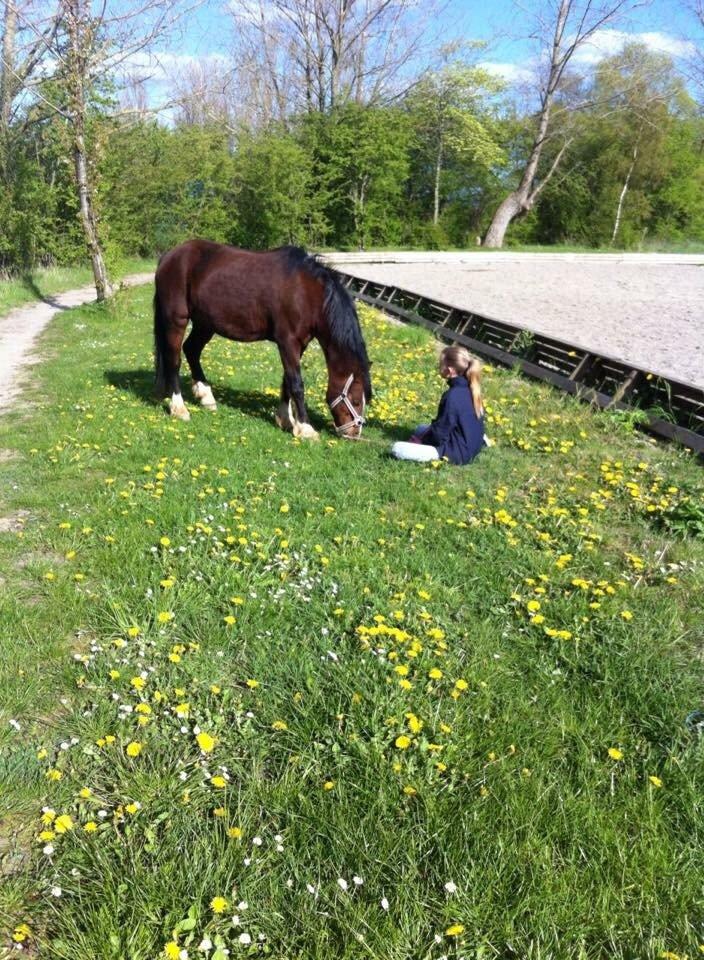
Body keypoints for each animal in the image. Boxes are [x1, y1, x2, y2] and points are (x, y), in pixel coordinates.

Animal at [153, 240, 374, 438]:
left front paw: (286, 420)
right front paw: (305, 429)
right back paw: (179, 408)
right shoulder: (288, 342)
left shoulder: (299, 345)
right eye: (355, 401)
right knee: (174, 359)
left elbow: (287, 380)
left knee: (191, 350)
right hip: (177, 319)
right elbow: (296, 384)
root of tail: (169, 256)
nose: (354, 434)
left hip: (205, 323)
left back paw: (206, 396)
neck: (306, 293)